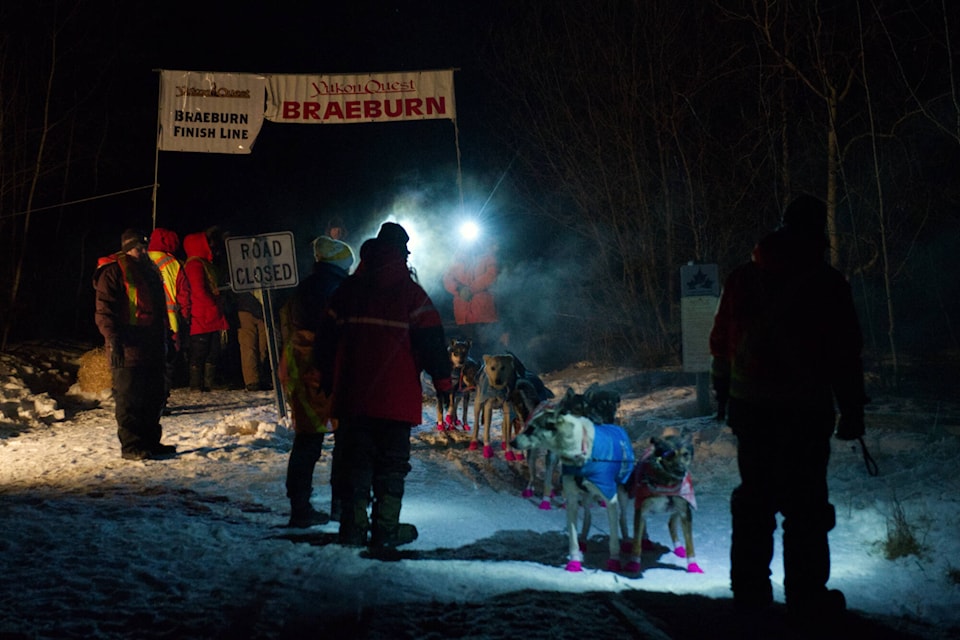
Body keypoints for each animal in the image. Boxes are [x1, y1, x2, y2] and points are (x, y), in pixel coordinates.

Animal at [510, 400, 636, 568]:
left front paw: (614, 560)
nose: (512, 442)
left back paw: (627, 541)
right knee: (588, 516)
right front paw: (575, 561)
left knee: (622, 518)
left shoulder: (610, 499)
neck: (580, 451)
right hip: (585, 495)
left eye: (532, 428)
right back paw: (583, 539)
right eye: (527, 426)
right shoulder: (571, 499)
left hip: (621, 493)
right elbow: (573, 536)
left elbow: (614, 538)